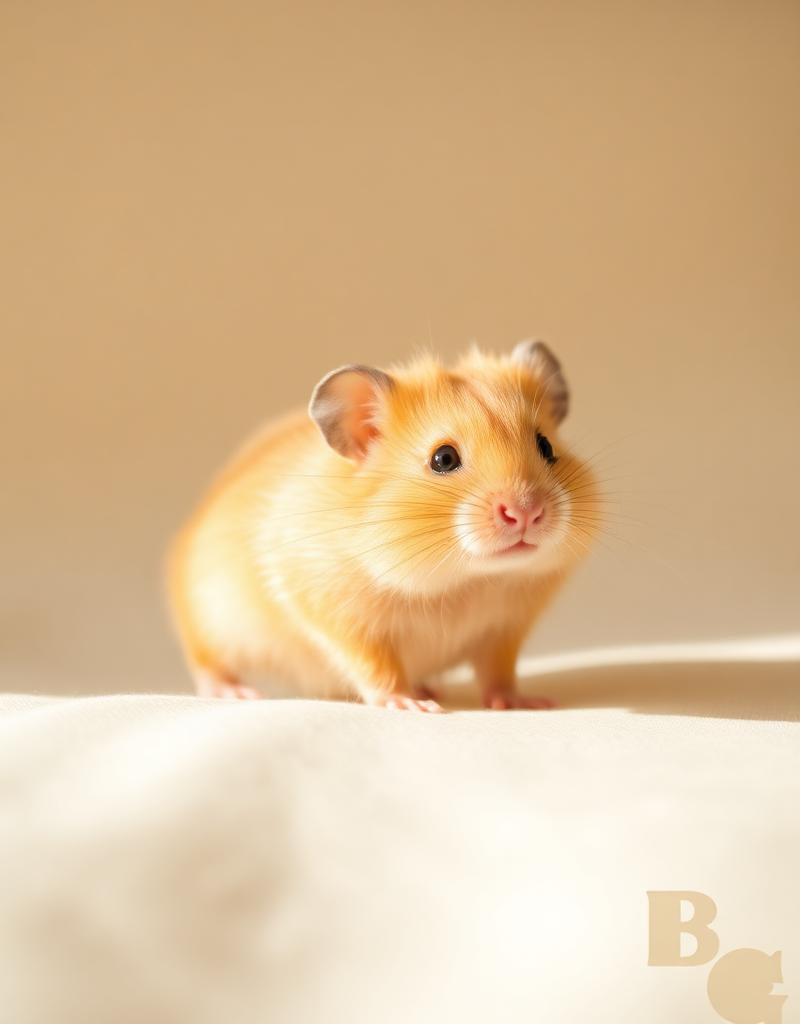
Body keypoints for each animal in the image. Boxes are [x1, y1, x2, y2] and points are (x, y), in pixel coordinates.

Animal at [167, 340, 599, 712]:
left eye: (546, 446)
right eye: (443, 459)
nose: (527, 512)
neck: (464, 581)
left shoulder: (505, 630)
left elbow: (499, 672)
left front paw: (526, 703)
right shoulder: (336, 610)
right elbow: (376, 666)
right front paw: (411, 705)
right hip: (208, 623)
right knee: (207, 665)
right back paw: (237, 693)